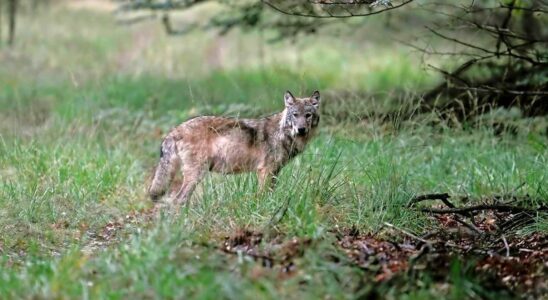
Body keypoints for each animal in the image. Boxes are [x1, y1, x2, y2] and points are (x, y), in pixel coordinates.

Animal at [149, 90, 322, 205]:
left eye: (308, 115)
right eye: (295, 114)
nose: (301, 129)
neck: (282, 133)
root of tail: (175, 130)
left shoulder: (274, 172)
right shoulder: (265, 171)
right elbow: (262, 196)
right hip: (196, 175)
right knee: (178, 200)